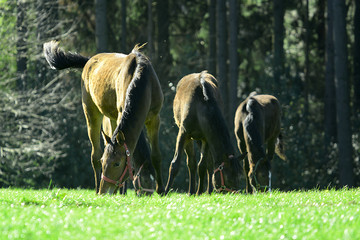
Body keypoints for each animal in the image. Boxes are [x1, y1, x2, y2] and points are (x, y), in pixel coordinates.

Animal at [42, 40, 165, 195]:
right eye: (104, 162)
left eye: (116, 163)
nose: (104, 191)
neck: (143, 80)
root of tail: (89, 61)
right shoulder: (122, 115)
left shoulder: (154, 118)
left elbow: (156, 156)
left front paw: (161, 190)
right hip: (91, 112)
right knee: (95, 154)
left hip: (111, 118)